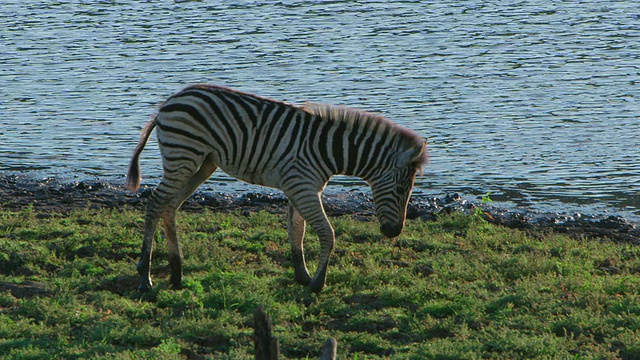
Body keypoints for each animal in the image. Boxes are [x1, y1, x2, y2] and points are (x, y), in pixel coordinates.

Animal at [125, 84, 428, 292]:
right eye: (402, 190)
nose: (394, 232)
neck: (328, 149)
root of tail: (171, 100)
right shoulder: (303, 187)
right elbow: (327, 233)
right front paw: (317, 283)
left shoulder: (302, 187)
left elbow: (298, 231)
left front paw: (302, 275)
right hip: (183, 157)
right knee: (155, 203)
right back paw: (145, 276)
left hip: (201, 163)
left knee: (170, 206)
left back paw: (176, 273)